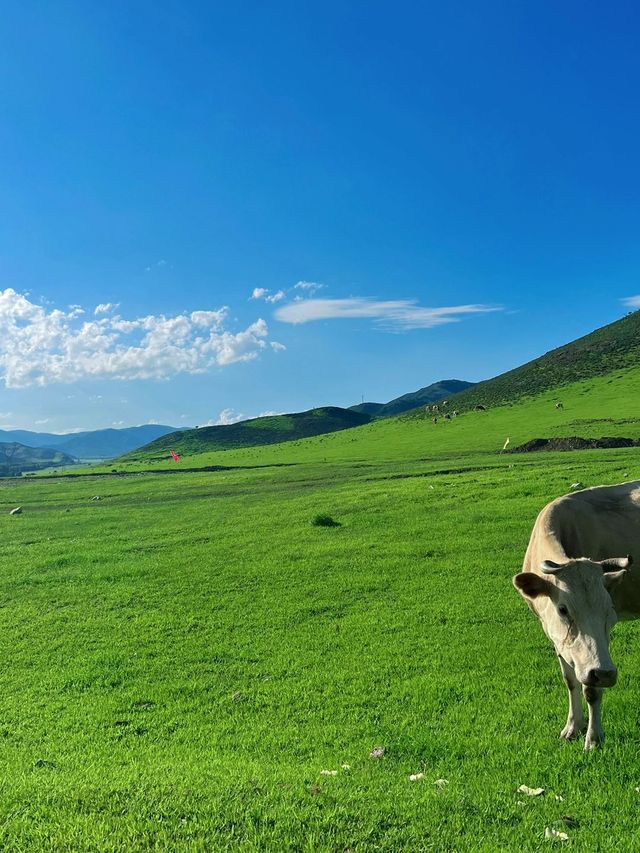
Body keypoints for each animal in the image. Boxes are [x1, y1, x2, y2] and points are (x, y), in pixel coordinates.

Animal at [512, 482, 640, 748]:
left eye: (610, 613)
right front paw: (573, 727)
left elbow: (590, 688)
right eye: (563, 609)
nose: (605, 674)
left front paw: (593, 738)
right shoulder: (553, 632)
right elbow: (570, 679)